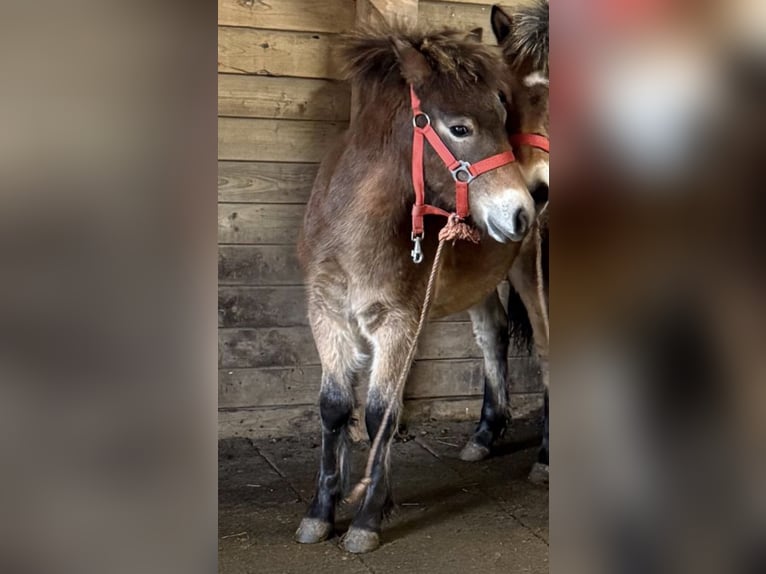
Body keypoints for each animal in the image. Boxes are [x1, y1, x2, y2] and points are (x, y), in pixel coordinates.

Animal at [295, 26, 535, 553]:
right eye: (460, 128)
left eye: (503, 117)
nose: (522, 213)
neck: (353, 229)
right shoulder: (327, 314)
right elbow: (335, 407)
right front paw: (321, 513)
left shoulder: (398, 323)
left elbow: (381, 412)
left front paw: (368, 518)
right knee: (493, 336)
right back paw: (483, 437)